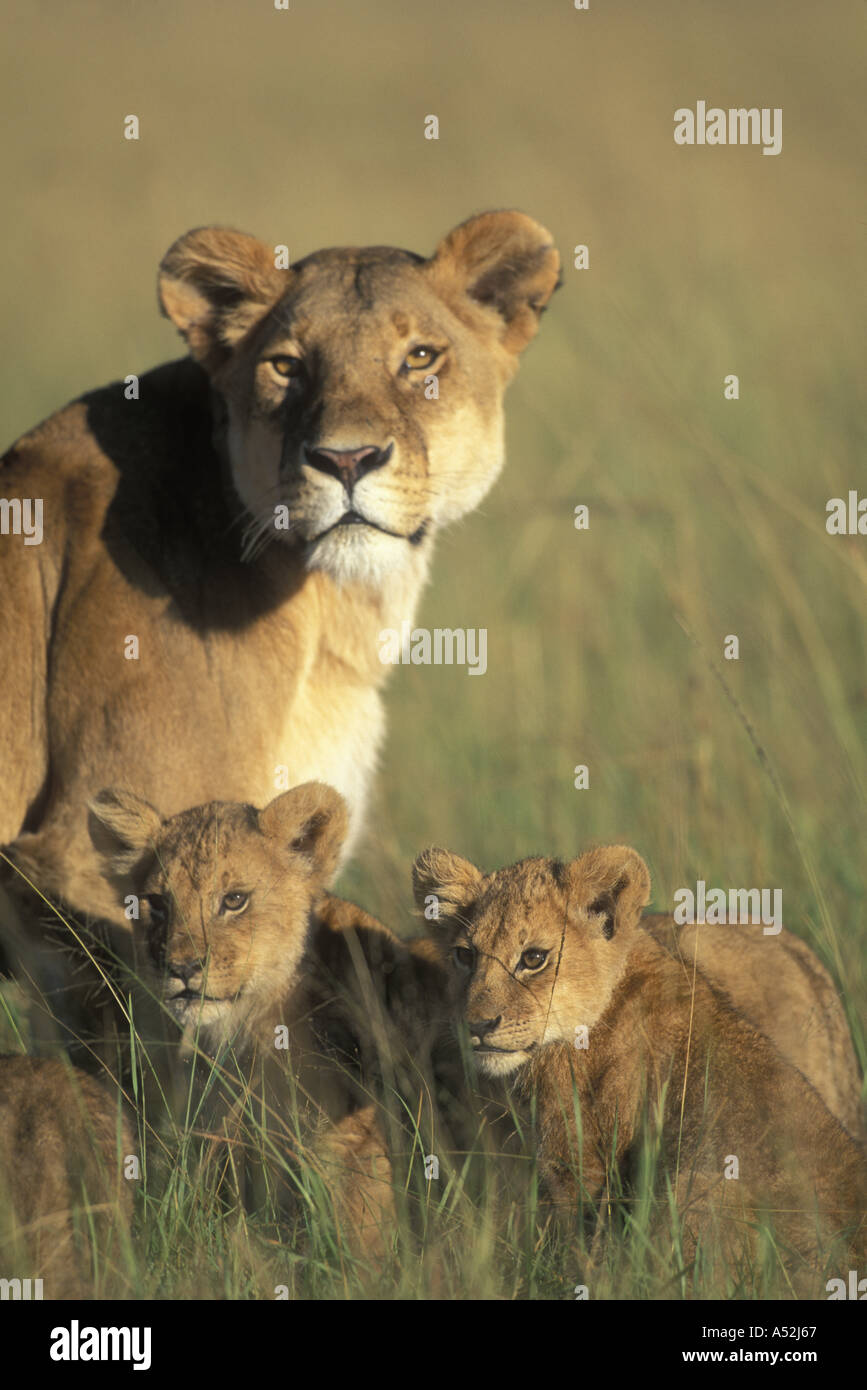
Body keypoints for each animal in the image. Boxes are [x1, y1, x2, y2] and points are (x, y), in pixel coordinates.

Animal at [414, 845, 867, 1283]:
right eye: (464, 956)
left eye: (534, 958)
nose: (477, 1025)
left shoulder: (581, 1159)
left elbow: (585, 1251)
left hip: (696, 1186)